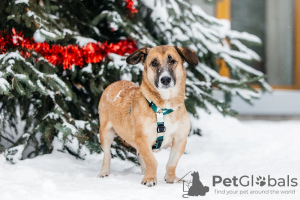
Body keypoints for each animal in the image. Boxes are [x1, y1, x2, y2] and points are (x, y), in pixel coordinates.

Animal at [97, 45, 198, 186]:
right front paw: (150, 179)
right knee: (107, 154)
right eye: (154, 63)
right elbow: (152, 160)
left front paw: (171, 178)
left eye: (172, 61)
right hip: (106, 132)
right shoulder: (142, 139)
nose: (165, 79)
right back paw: (104, 172)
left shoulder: (180, 139)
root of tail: (115, 82)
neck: (163, 107)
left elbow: (172, 163)